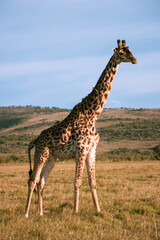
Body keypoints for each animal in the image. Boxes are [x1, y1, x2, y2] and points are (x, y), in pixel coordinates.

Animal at [24, 39, 137, 218]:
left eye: (130, 50)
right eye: (121, 53)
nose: (135, 60)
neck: (93, 114)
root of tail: (35, 140)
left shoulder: (92, 150)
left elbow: (92, 181)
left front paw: (98, 209)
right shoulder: (81, 149)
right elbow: (77, 181)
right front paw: (75, 211)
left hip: (51, 158)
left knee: (41, 182)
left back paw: (40, 213)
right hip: (41, 154)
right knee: (32, 180)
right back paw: (26, 214)